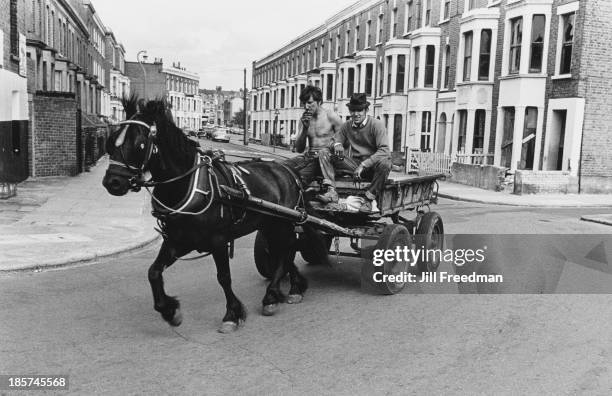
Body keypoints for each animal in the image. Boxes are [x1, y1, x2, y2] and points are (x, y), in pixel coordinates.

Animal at [103, 97, 310, 332]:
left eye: (139, 143)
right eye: (111, 141)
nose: (112, 182)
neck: (187, 185)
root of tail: (288, 170)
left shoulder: (218, 241)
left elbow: (224, 277)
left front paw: (231, 314)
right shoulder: (177, 240)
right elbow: (153, 272)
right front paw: (169, 310)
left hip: (282, 223)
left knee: (287, 249)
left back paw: (273, 295)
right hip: (270, 224)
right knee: (284, 251)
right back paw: (290, 289)